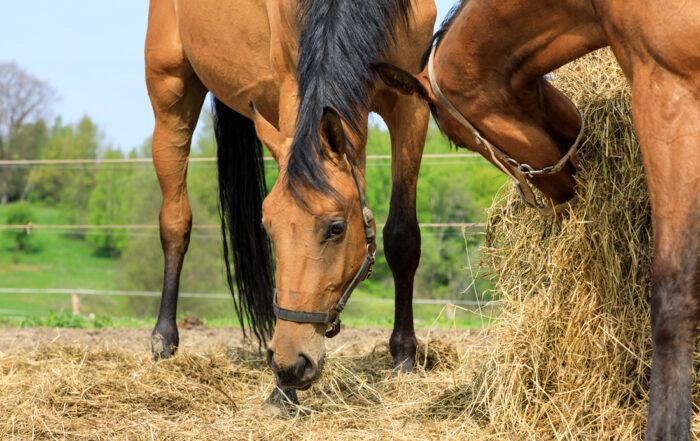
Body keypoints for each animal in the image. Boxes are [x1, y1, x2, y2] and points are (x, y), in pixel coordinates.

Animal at [145, 0, 436, 398]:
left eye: (336, 228)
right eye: (268, 227)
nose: (289, 363)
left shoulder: (411, 107)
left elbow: (403, 238)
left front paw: (405, 357)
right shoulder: (290, 87)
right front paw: (282, 394)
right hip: (170, 94)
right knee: (175, 223)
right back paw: (164, 341)